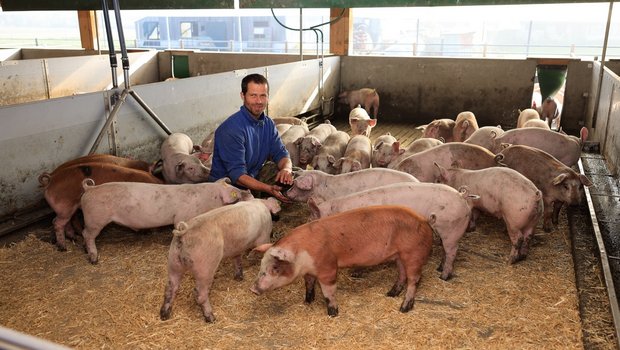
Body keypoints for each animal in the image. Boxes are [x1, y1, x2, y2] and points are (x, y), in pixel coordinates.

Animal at [249, 204, 434, 316]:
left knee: (414, 280)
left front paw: (332, 313)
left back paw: (403, 308)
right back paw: (390, 294)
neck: (302, 253)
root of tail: (424, 220)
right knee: (402, 275)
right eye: (261, 265)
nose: (253, 289)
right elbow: (309, 283)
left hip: (413, 254)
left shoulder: (328, 267)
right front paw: (307, 301)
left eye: (275, 268)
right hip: (399, 256)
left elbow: (328, 291)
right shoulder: (309, 271)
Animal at [306, 182, 474, 280]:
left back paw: (444, 276)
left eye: (311, 221)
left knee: (452, 251)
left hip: (451, 229)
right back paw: (439, 268)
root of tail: (461, 195)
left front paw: (356, 273)